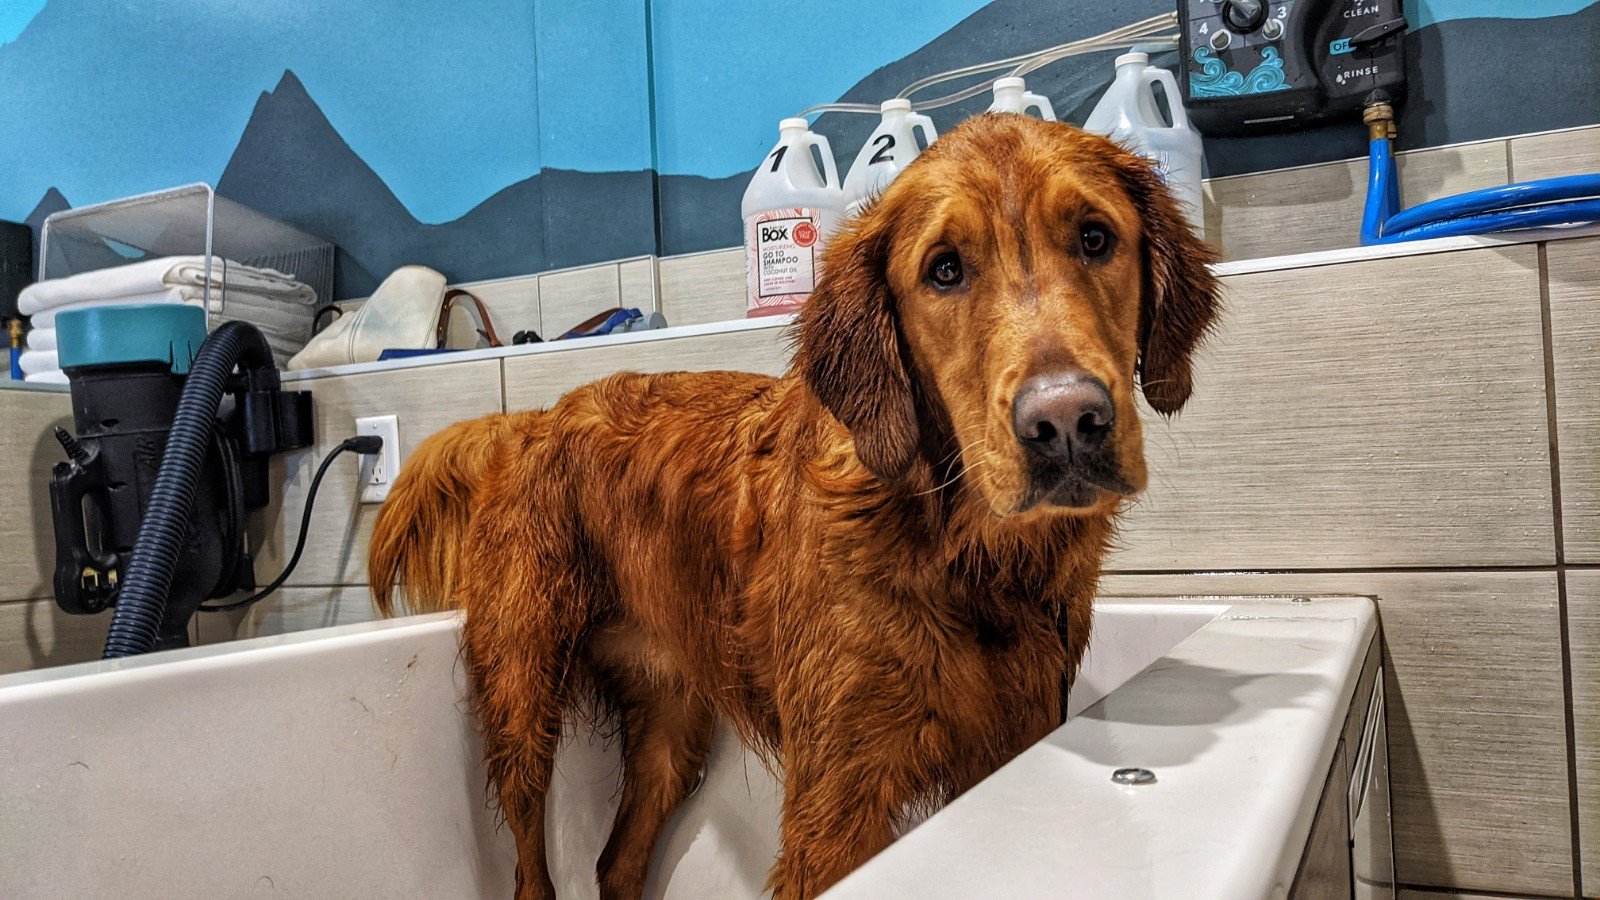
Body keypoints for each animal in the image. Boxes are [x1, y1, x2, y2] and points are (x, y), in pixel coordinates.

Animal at [371, 113, 1222, 896]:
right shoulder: (836, 804)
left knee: (618, 862)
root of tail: (532, 419)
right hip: (525, 693)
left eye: (1094, 238)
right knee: (529, 863)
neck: (959, 551)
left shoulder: (1018, 734)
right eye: (945, 270)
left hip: (670, 726)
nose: (1067, 423)